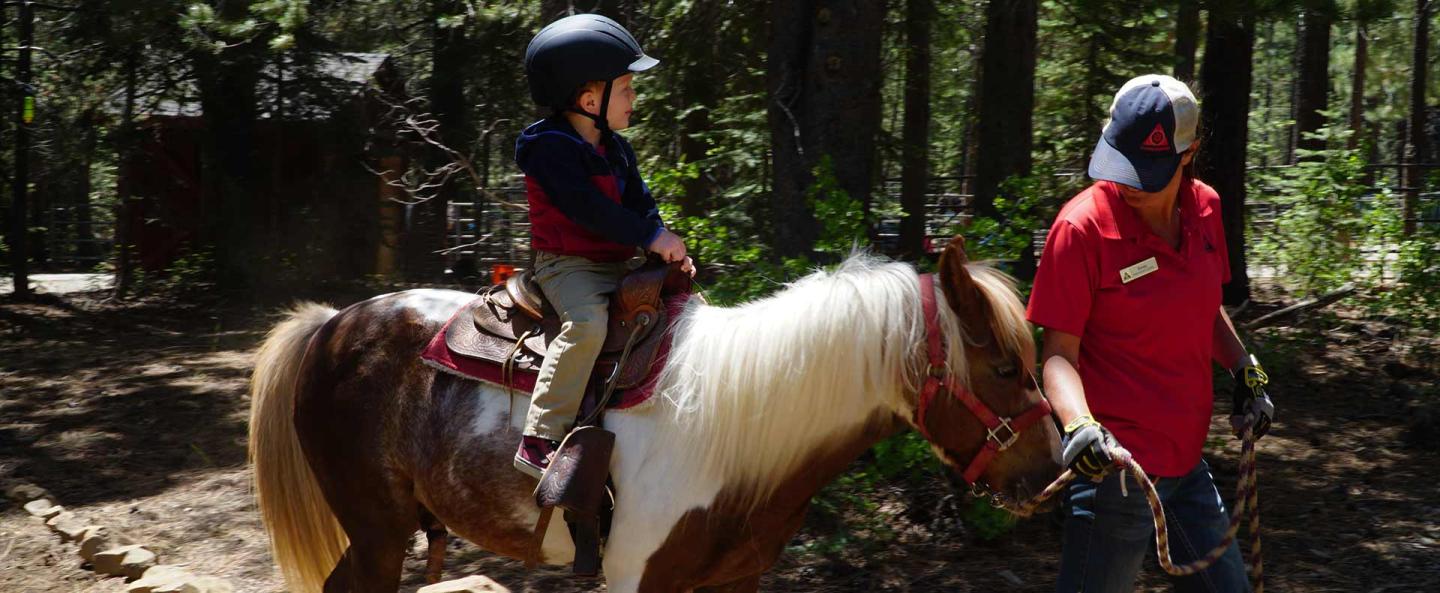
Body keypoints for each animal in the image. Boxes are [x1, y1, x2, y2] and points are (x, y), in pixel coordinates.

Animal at [247, 236, 1063, 593]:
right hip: (377, 531)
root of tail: (331, 325)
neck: (738, 427)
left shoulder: (732, 585)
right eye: (1004, 367)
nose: (1053, 473)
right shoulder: (637, 579)